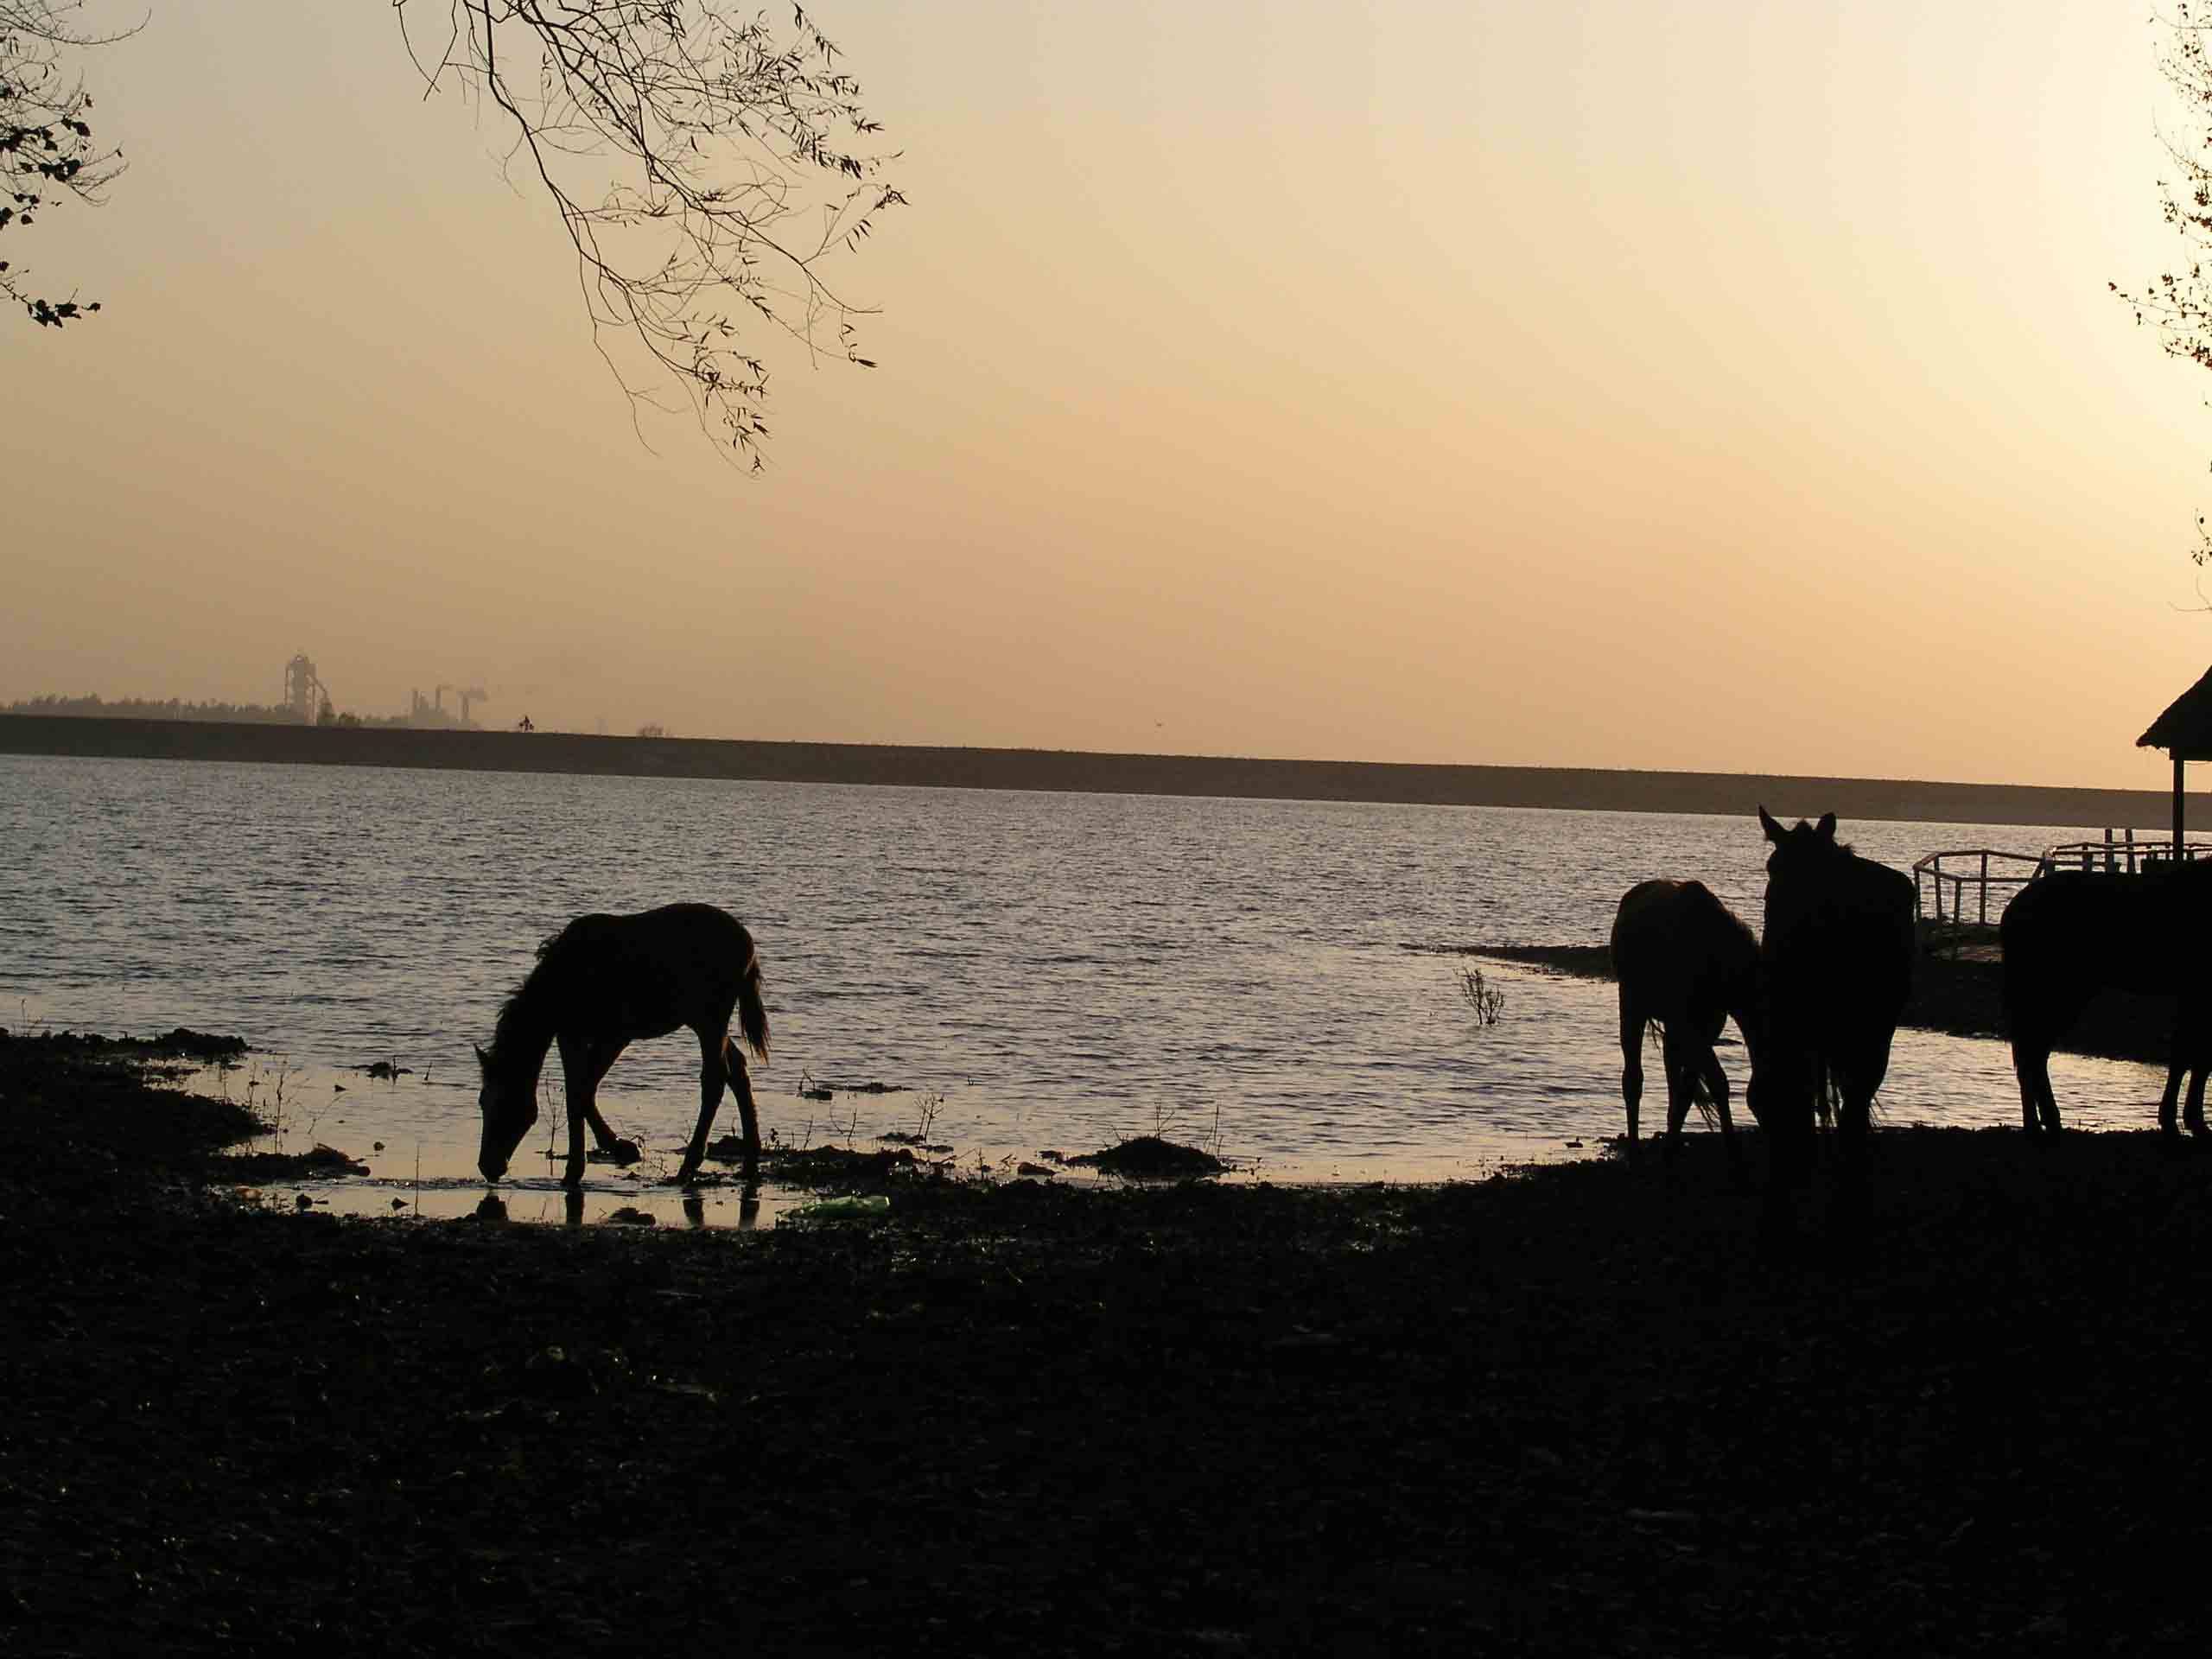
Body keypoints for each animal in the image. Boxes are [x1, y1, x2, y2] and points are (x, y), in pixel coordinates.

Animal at [473, 911, 769, 1194]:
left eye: (505, 1104)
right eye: (482, 1101)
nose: (488, 1166)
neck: (561, 987)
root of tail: (749, 948)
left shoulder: (616, 1035)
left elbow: (582, 1092)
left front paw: (608, 1153)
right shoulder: (570, 1037)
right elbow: (577, 1093)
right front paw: (593, 1160)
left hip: (710, 1019)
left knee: (715, 1080)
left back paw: (688, 1168)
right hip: (701, 1022)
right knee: (737, 1068)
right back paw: (749, 1163)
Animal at [1610, 875, 1760, 1159]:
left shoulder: (1707, 1027)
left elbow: (1688, 1090)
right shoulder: (1691, 1030)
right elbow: (1718, 1082)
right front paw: (1734, 1152)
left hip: (1671, 1029)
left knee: (1673, 1080)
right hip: (1633, 1005)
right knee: (1633, 1079)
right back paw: (1634, 1151)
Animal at [1999, 858, 2212, 1141]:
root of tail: (2013, 909)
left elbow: (2198, 1057)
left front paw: (2193, 1121)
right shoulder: (2196, 993)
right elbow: (2186, 1055)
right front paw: (2177, 1122)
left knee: (2032, 1054)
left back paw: (2040, 1123)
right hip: (2061, 993)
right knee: (2032, 1053)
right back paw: (2044, 1123)